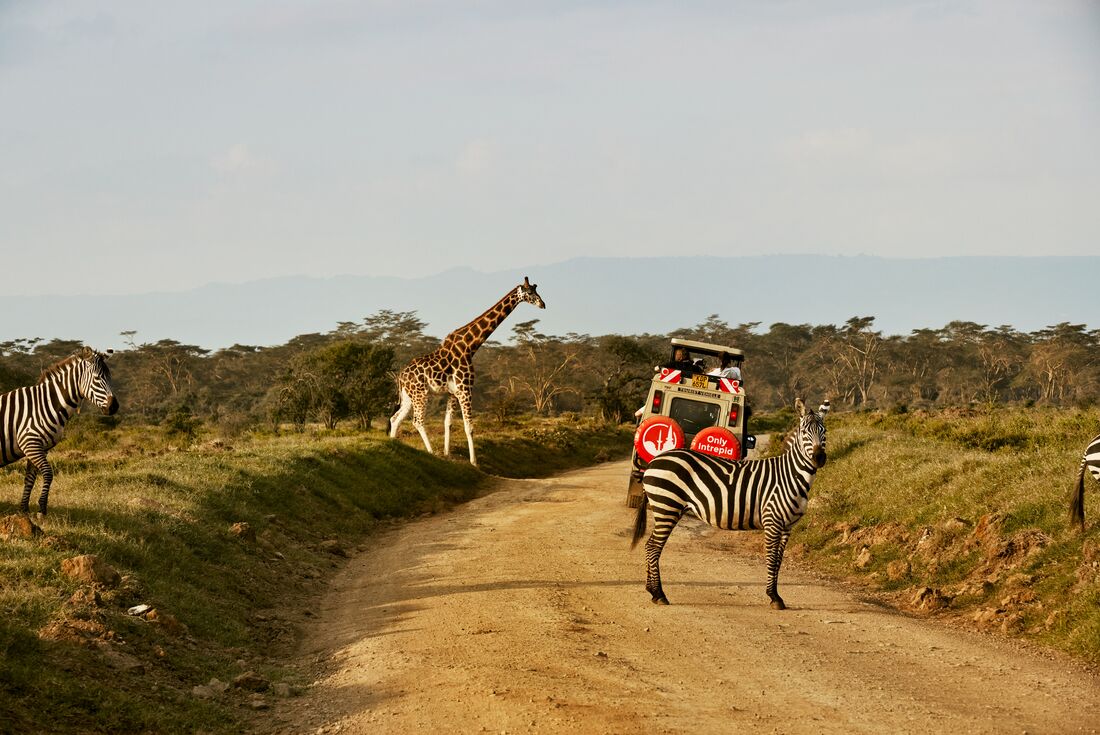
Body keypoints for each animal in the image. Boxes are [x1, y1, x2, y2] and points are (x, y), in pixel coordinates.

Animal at [1, 347, 118, 515]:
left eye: (109, 378)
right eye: (97, 378)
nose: (114, 407)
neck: (46, 403)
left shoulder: (39, 448)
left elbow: (30, 478)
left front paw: (24, 510)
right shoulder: (30, 442)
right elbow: (48, 473)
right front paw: (42, 509)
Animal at [389, 276, 545, 466]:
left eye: (537, 291)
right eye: (530, 293)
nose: (543, 304)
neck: (470, 347)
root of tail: (401, 377)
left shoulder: (453, 392)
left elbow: (448, 423)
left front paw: (448, 454)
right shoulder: (465, 389)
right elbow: (469, 426)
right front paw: (473, 461)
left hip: (408, 396)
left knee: (395, 418)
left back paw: (394, 445)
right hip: (421, 393)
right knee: (417, 421)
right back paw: (431, 452)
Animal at [631, 397, 827, 610]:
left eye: (824, 431)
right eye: (804, 432)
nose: (819, 458)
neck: (791, 475)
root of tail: (654, 461)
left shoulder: (787, 526)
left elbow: (779, 561)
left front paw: (776, 596)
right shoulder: (772, 520)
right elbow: (772, 559)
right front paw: (774, 597)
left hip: (667, 508)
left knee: (650, 545)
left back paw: (652, 592)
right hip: (667, 506)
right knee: (653, 547)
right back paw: (659, 594)